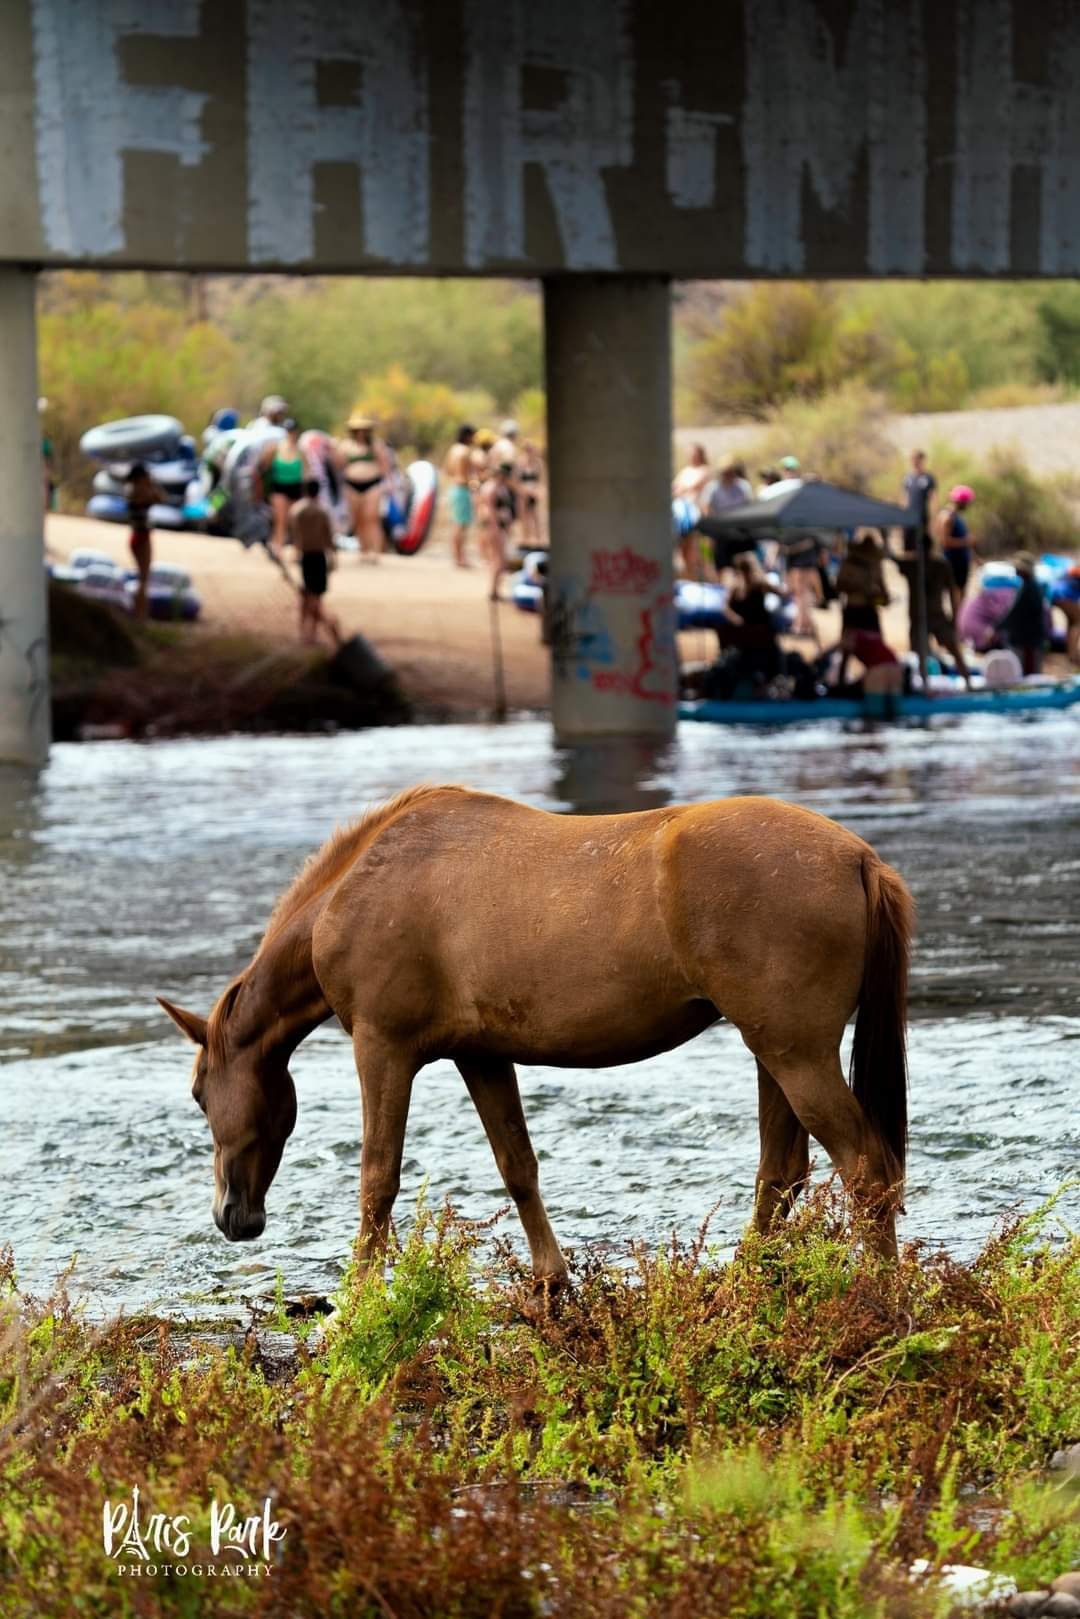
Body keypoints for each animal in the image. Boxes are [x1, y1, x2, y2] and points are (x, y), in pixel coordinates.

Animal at [159, 785, 914, 1280]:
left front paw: (357, 1302)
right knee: (782, 1174)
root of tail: (859, 858)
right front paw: (553, 1283)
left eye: (199, 1094)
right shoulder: (481, 1056)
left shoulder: (382, 1049)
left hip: (797, 1056)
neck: (357, 890)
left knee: (866, 1171)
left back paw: (877, 1294)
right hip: (773, 1053)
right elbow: (517, 1166)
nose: (232, 1214)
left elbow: (378, 1177)